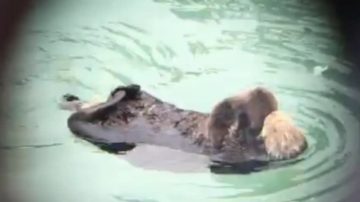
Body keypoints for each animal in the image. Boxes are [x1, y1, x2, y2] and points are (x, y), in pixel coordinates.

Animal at [61, 83, 306, 170]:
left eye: (274, 129)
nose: (271, 116)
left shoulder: (236, 148)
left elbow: (222, 131)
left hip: (96, 131)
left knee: (77, 119)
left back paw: (122, 92)